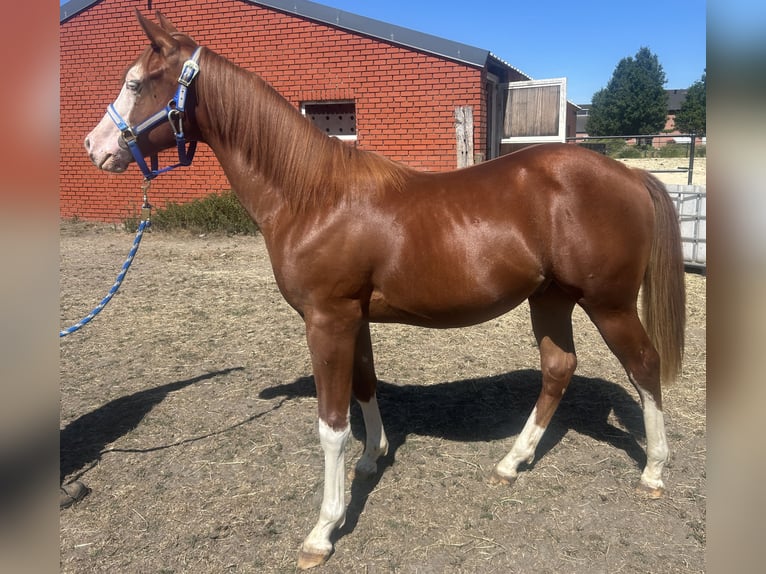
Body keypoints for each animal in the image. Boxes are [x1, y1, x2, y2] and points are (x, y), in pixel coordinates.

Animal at [83, 11, 685, 569]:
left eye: (136, 83)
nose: (94, 147)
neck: (313, 195)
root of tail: (631, 176)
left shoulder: (327, 320)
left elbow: (330, 424)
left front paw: (323, 530)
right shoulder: (354, 318)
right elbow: (365, 386)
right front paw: (373, 456)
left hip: (608, 304)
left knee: (645, 366)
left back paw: (654, 471)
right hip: (551, 298)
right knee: (559, 368)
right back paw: (512, 463)